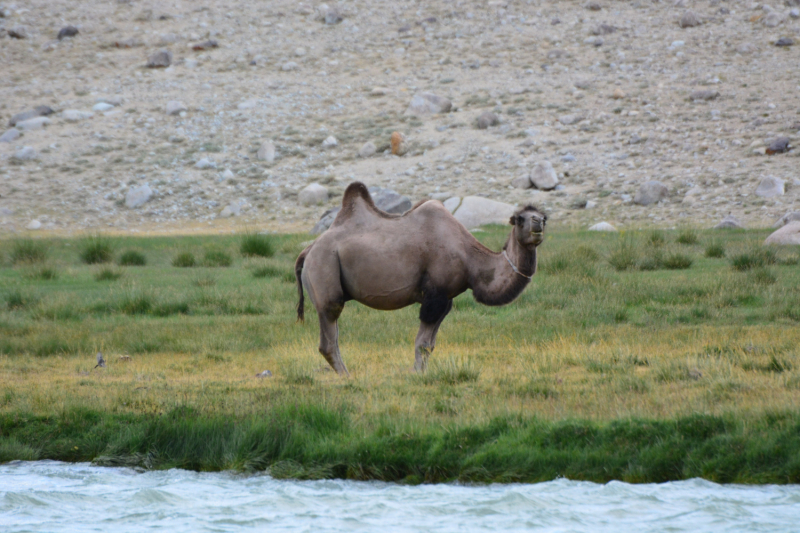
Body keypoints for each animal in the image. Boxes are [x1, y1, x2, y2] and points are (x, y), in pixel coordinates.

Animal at [296, 183, 548, 374]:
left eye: (544, 217)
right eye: (519, 218)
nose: (537, 224)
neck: (469, 259)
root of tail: (307, 251)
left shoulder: (446, 299)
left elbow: (431, 345)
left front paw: (422, 373)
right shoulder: (434, 296)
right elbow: (422, 344)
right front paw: (417, 375)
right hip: (324, 271)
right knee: (329, 334)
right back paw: (347, 377)